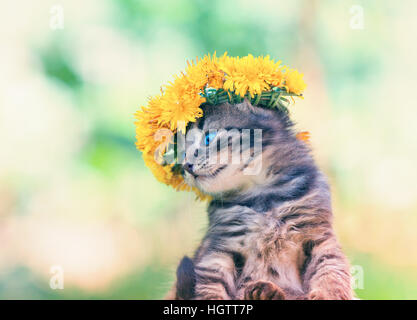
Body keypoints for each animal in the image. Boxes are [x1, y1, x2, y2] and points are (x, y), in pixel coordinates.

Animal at [165, 100, 352, 300]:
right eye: (183, 152)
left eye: (209, 138)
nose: (186, 166)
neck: (263, 197)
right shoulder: (219, 250)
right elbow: (210, 288)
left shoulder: (319, 237)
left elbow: (331, 272)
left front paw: (327, 294)